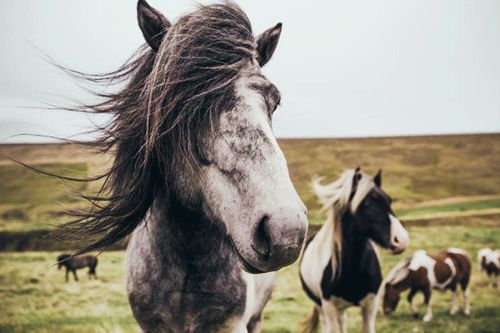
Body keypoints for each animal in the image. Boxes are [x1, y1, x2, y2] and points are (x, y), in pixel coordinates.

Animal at [298, 169, 408, 332]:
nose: (401, 240)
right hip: (322, 307)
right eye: (367, 203)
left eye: (389, 200)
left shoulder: (370, 306)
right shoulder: (328, 306)